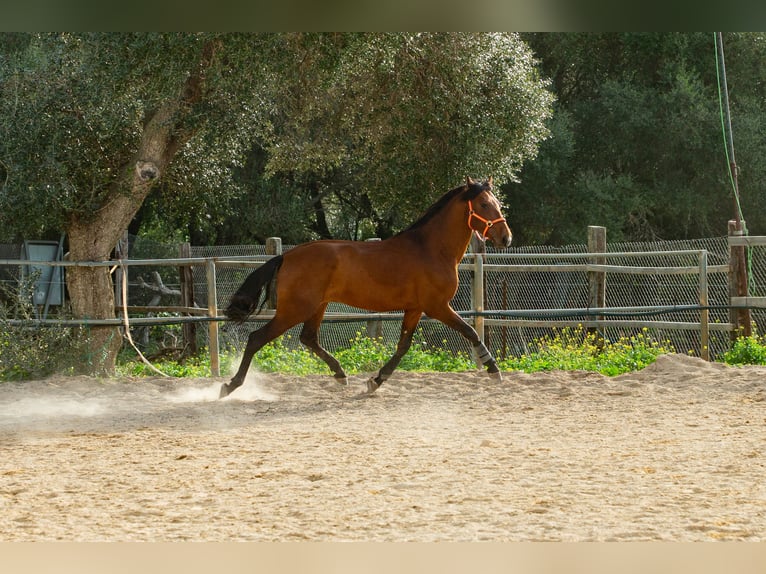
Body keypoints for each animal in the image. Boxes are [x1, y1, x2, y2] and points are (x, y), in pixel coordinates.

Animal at [219, 176, 512, 399]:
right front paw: (493, 369)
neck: (431, 249)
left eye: (497, 204)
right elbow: (470, 331)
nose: (506, 238)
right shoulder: (437, 306)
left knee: (308, 338)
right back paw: (230, 386)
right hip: (294, 310)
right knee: (257, 338)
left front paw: (375, 381)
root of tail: (287, 256)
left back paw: (340, 374)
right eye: (484, 204)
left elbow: (403, 346)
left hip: (317, 306)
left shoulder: (415, 308)